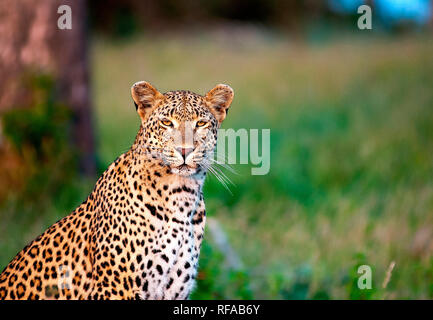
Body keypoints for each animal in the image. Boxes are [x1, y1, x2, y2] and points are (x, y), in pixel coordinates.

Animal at [0, 80, 233, 300]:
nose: (185, 150)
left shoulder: (174, 291)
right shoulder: (115, 287)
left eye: (201, 123)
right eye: (167, 122)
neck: (182, 195)